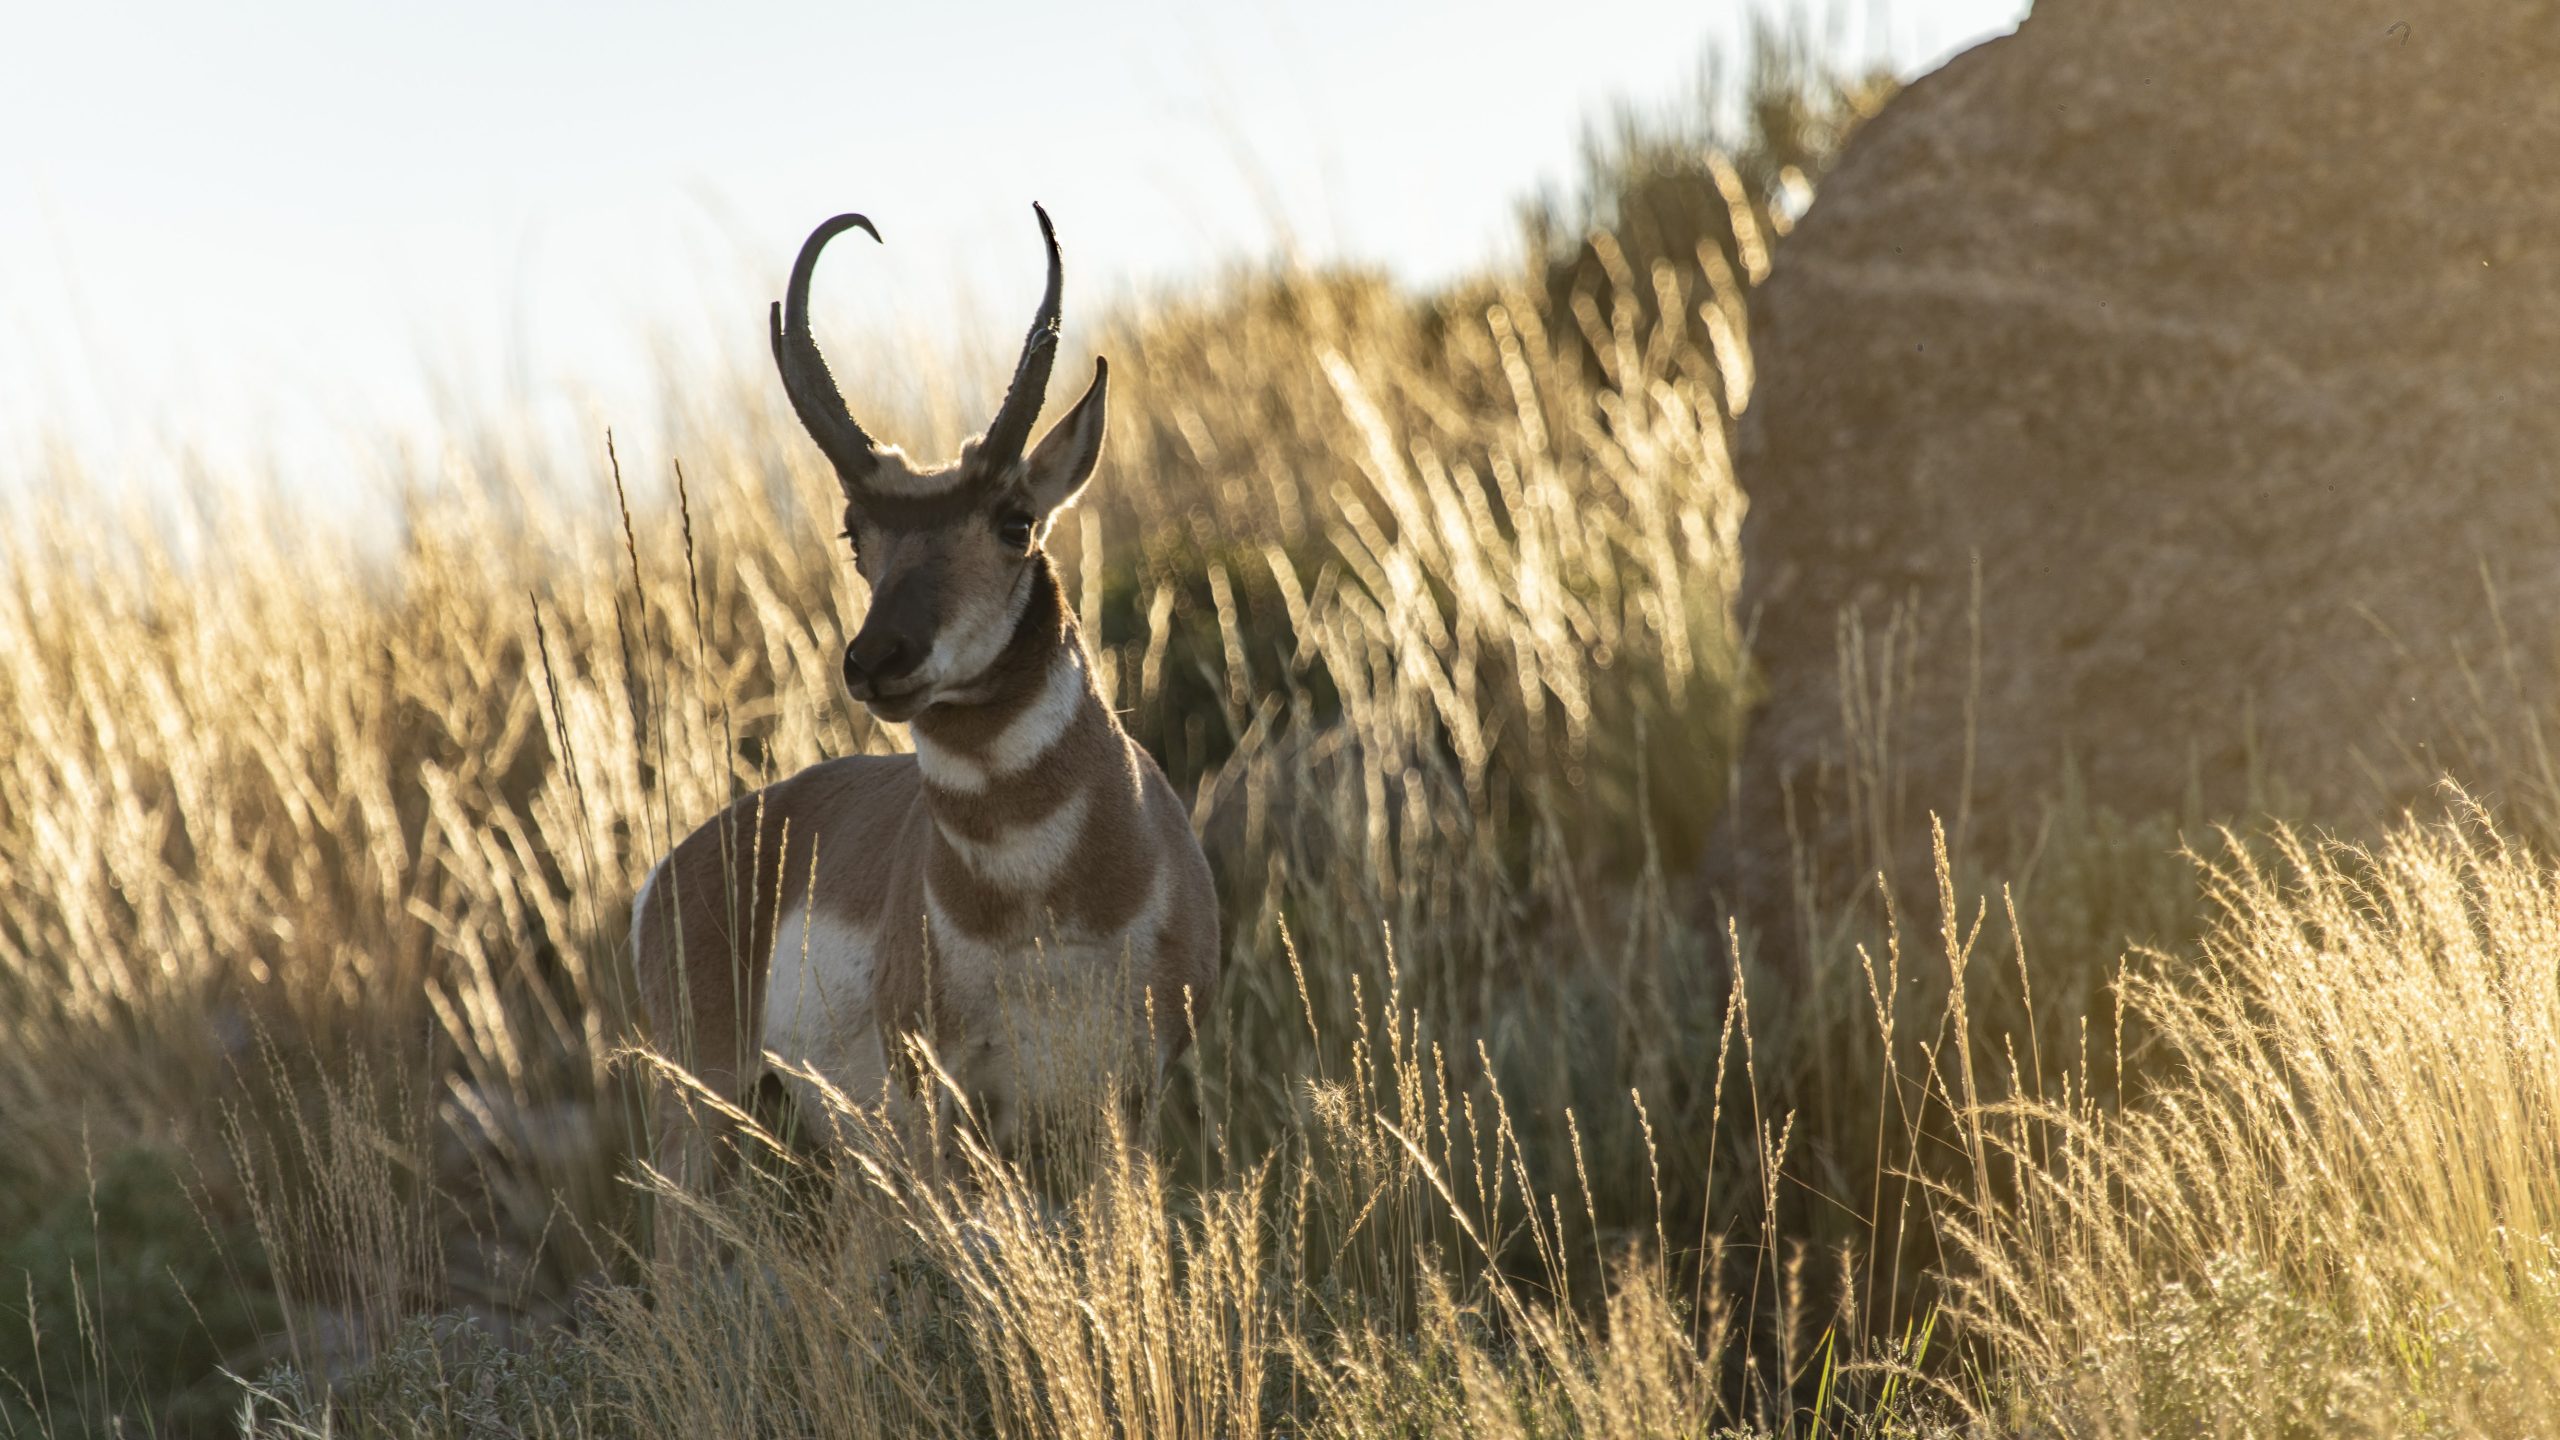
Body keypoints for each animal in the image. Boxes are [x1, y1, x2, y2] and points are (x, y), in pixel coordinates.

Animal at [631, 205, 1220, 1215]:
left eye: (1016, 520)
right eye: (854, 533)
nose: (876, 661)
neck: (1039, 906)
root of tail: (684, 857)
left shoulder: (1131, 1094)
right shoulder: (944, 1094)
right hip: (704, 1108)